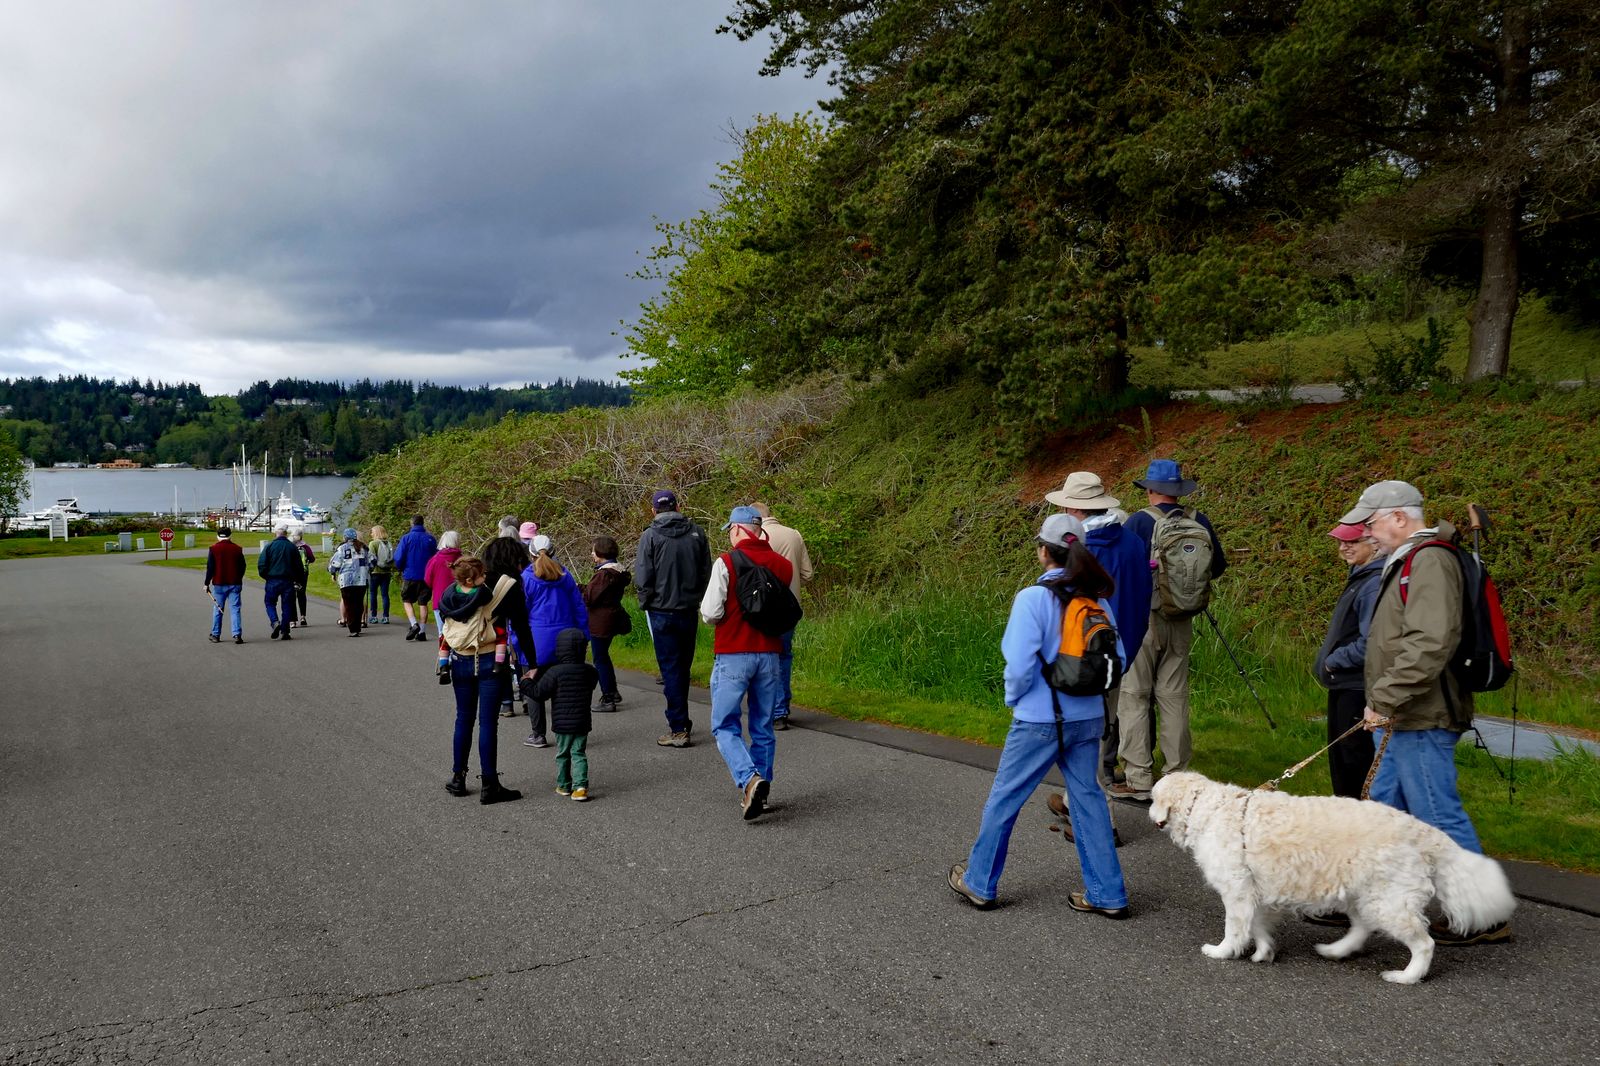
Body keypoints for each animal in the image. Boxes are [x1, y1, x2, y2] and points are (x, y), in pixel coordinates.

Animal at [1152, 765, 1510, 979]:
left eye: (1154, 798)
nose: (1149, 813)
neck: (1209, 808)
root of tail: (1422, 830)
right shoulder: (1256, 892)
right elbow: (1259, 926)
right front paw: (1265, 952)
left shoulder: (1237, 890)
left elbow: (1236, 929)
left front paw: (1223, 952)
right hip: (1364, 894)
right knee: (1363, 928)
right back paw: (1335, 951)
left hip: (1389, 901)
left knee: (1424, 944)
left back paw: (1407, 976)